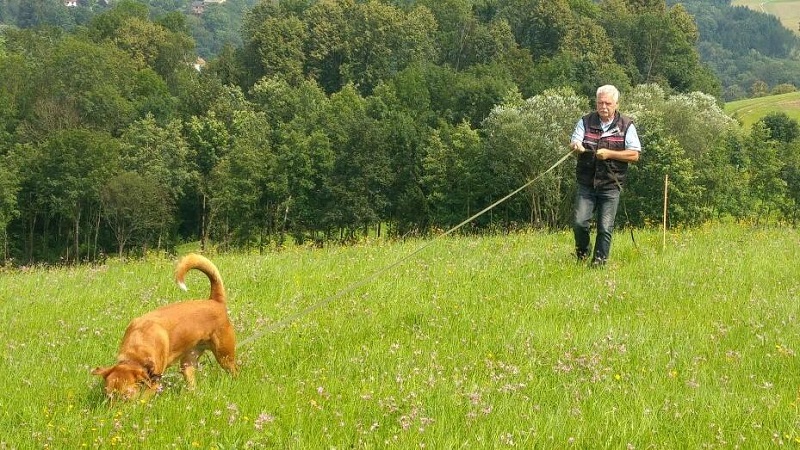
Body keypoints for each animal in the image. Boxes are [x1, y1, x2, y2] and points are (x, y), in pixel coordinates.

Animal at [93, 253, 236, 400]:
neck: (136, 349)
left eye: (126, 397)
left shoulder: (153, 382)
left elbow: (142, 399)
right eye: (108, 396)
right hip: (187, 363)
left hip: (225, 356)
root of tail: (215, 301)